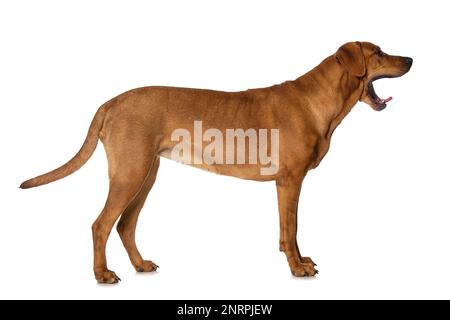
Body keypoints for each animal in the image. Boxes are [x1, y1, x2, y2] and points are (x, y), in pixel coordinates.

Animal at [20, 42, 412, 282]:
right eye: (378, 53)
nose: (410, 59)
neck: (322, 100)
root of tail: (110, 102)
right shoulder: (290, 181)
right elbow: (292, 229)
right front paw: (297, 268)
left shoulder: (286, 184)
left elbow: (287, 232)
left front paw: (298, 261)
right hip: (131, 174)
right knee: (101, 225)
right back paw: (103, 275)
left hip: (146, 174)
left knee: (125, 225)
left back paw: (141, 265)